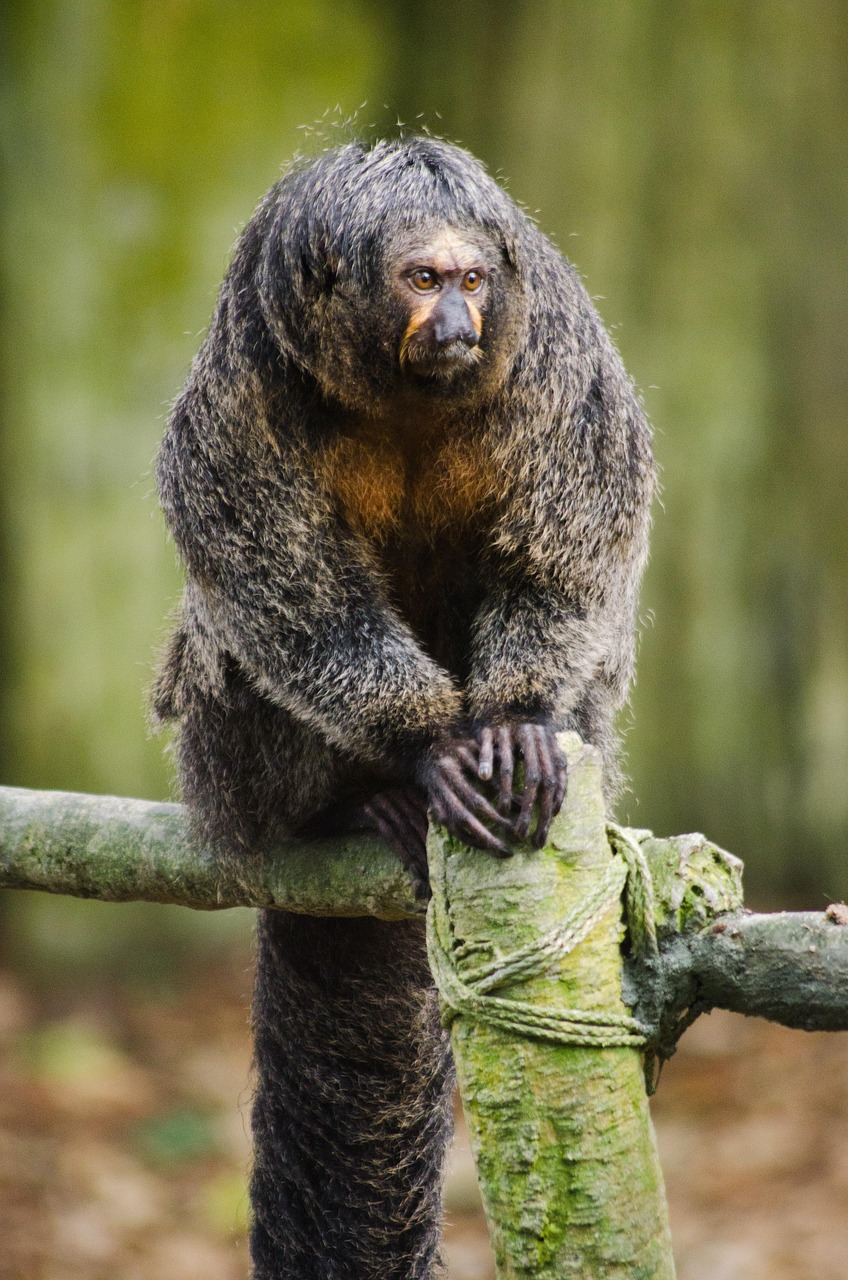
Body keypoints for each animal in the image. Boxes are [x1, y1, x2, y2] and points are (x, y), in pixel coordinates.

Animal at [152, 135, 654, 1279]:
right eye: (421, 280)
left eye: (471, 278)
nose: (460, 322)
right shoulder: (245, 379)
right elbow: (279, 587)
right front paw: (429, 750)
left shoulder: (556, 354)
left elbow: (571, 547)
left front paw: (512, 725)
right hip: (222, 770)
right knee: (226, 652)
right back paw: (356, 807)